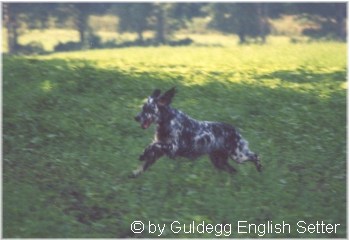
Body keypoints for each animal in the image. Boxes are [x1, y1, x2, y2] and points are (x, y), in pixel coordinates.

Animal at [133, 87, 262, 177]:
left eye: (148, 109)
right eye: (142, 108)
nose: (136, 117)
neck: (168, 119)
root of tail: (235, 130)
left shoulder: (173, 147)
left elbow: (154, 145)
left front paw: (143, 155)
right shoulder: (160, 151)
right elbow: (147, 160)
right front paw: (136, 171)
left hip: (238, 155)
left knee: (255, 156)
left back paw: (260, 169)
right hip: (219, 161)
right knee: (233, 170)